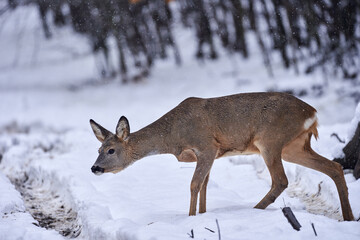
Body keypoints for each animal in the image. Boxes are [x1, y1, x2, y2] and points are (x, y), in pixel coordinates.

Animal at [89, 92, 354, 221]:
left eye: (111, 150)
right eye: (98, 150)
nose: (94, 168)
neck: (173, 136)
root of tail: (312, 113)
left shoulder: (206, 146)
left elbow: (194, 184)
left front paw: (190, 218)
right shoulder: (211, 154)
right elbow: (205, 184)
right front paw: (203, 215)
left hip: (270, 140)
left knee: (281, 180)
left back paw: (255, 210)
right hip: (294, 146)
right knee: (334, 167)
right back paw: (349, 217)